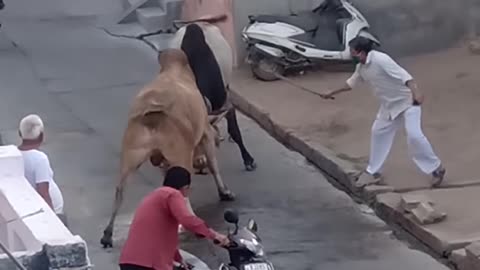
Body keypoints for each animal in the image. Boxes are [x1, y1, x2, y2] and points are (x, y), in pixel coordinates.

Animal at [101, 49, 234, 249]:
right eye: (217, 138)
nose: (199, 164)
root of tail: (152, 115)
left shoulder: (165, 162)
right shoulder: (205, 133)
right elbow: (214, 165)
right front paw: (224, 192)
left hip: (130, 156)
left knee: (120, 191)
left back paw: (108, 235)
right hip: (180, 156)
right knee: (183, 192)